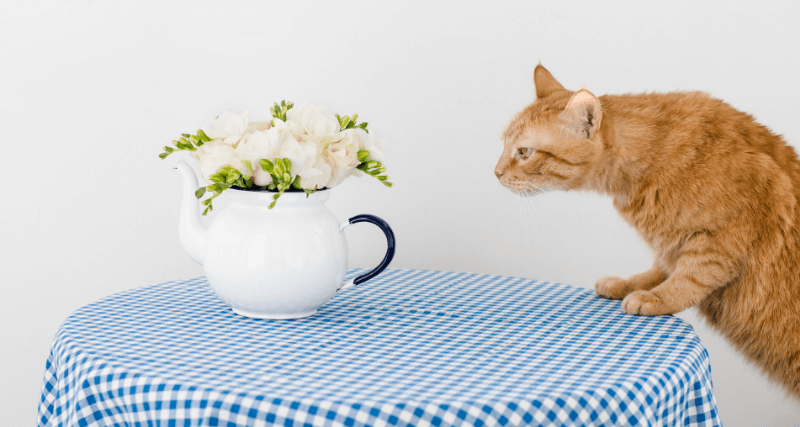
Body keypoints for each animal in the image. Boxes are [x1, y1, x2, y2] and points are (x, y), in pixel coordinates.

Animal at [494, 64, 800, 402]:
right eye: (504, 145)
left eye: (525, 152)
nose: (496, 173)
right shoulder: (672, 242)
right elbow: (662, 267)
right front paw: (630, 285)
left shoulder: (725, 238)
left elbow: (690, 277)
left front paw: (658, 298)